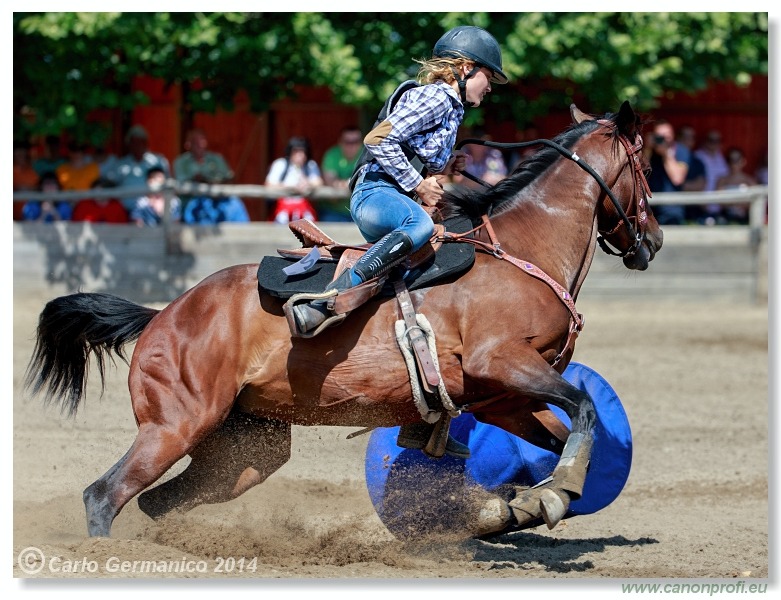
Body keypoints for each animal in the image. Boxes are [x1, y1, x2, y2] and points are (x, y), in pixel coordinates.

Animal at [24, 99, 660, 540]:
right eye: (646, 167)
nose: (651, 239)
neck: (524, 251)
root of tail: (164, 316)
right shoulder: (502, 361)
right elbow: (584, 411)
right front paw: (549, 494)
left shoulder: (501, 398)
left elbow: (557, 440)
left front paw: (518, 506)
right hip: (175, 425)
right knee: (105, 495)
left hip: (244, 451)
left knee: (156, 502)